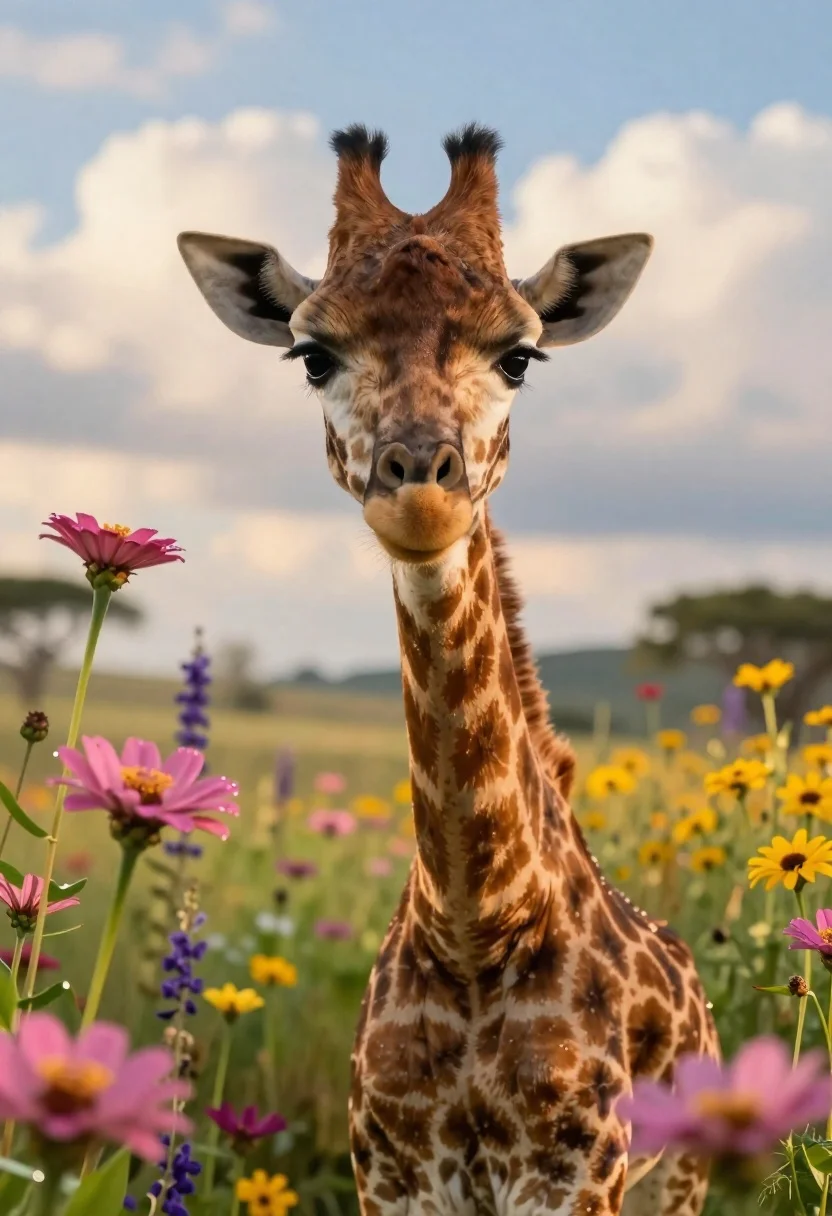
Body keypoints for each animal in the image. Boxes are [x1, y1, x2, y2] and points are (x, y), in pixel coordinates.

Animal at [178, 123, 720, 1215]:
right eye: (312, 354)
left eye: (520, 354)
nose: (419, 486)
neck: (476, 932)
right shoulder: (391, 1173)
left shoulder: (573, 1177)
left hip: (677, 1183)